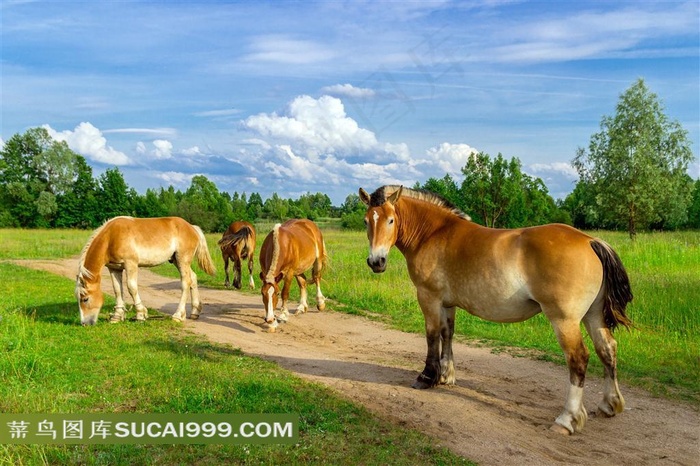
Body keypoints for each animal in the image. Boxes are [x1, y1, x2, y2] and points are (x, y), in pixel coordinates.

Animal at [73, 217, 216, 326]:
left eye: (85, 299)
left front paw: (141, 314)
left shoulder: (131, 264)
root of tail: (192, 227)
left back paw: (178, 315)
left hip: (182, 260)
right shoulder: (114, 268)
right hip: (176, 261)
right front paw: (117, 317)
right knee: (193, 278)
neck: (111, 237)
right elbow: (117, 290)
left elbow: (131, 288)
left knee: (185, 283)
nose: (85, 323)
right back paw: (195, 312)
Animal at [360, 185, 636, 434]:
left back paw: (567, 420)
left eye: (391, 220)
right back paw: (610, 404)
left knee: (578, 358)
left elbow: (431, 335)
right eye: (366, 221)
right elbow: (447, 334)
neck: (434, 233)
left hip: (564, 320)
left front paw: (427, 377)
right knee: (607, 349)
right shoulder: (448, 303)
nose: (376, 262)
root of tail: (590, 241)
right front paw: (446, 376)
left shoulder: (429, 297)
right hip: (593, 315)